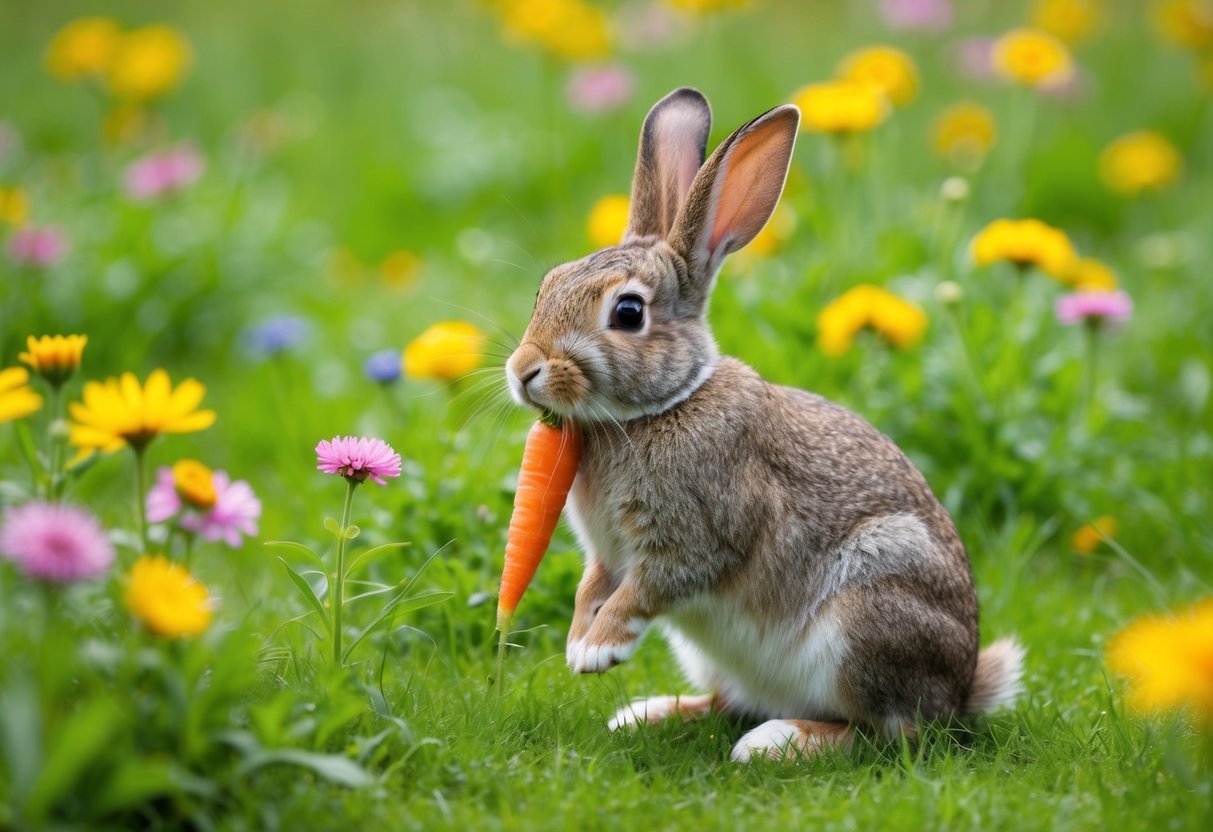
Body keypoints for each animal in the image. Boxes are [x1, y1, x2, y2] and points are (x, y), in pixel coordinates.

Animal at [504, 87, 1024, 762]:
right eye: (546, 286)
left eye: (628, 312)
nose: (523, 371)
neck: (661, 407)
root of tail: (961, 689)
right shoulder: (608, 554)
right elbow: (591, 587)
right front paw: (577, 640)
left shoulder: (697, 538)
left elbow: (644, 590)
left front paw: (597, 650)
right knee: (733, 700)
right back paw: (650, 714)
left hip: (868, 615)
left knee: (889, 734)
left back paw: (777, 742)